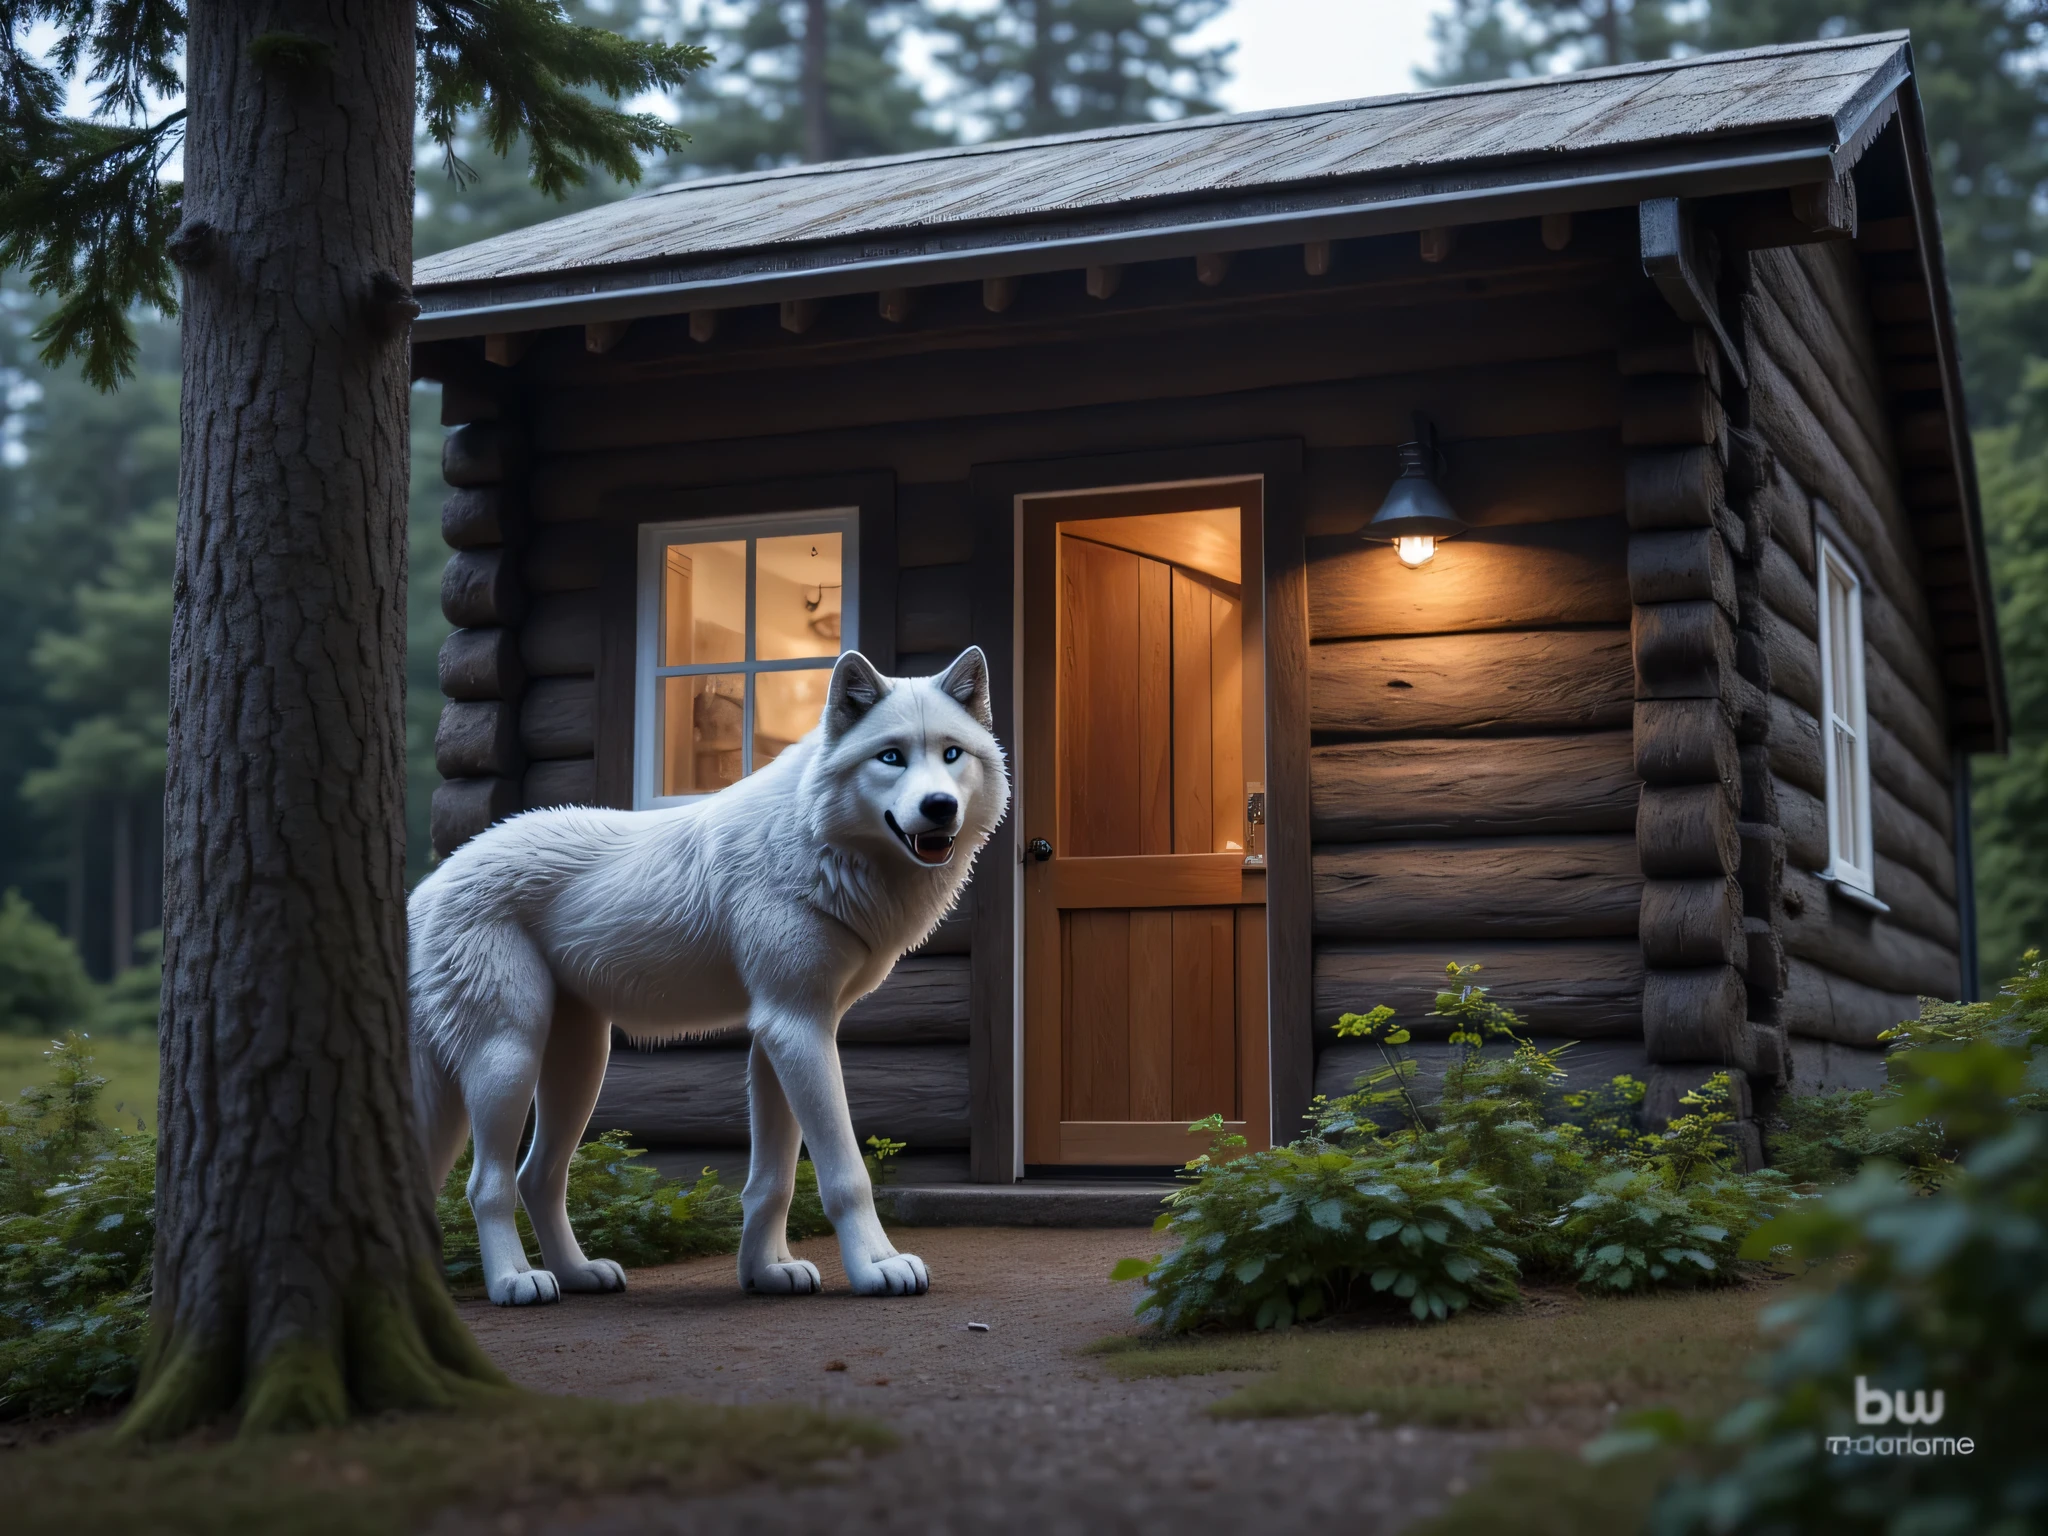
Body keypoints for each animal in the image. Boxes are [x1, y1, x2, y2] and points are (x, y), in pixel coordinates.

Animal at [408, 647, 1007, 1306]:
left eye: (951, 754)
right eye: (892, 756)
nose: (939, 807)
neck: (811, 839)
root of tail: (429, 883)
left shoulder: (780, 1035)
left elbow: (772, 1180)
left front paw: (767, 1273)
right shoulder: (798, 1027)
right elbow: (845, 1173)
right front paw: (877, 1267)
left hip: (579, 1066)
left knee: (537, 1175)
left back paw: (578, 1274)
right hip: (508, 1057)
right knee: (487, 1183)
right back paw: (516, 1281)